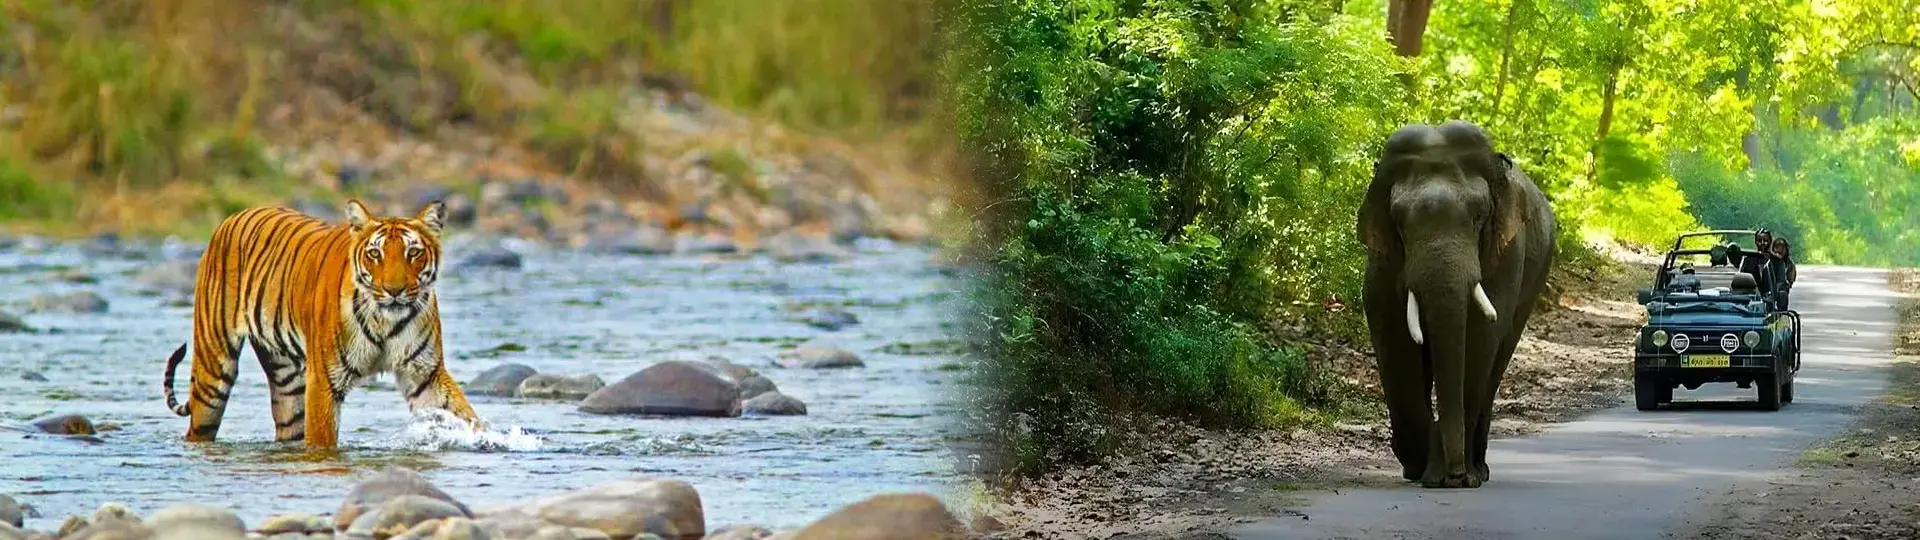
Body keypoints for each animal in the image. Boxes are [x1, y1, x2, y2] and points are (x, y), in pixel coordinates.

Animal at [160, 200, 479, 448]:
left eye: (413, 252)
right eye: (375, 254)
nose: (394, 290)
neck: (386, 320)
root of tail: (232, 217)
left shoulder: (425, 373)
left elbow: (464, 415)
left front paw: (485, 439)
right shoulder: (324, 380)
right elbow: (323, 440)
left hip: (287, 383)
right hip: (213, 371)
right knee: (199, 425)